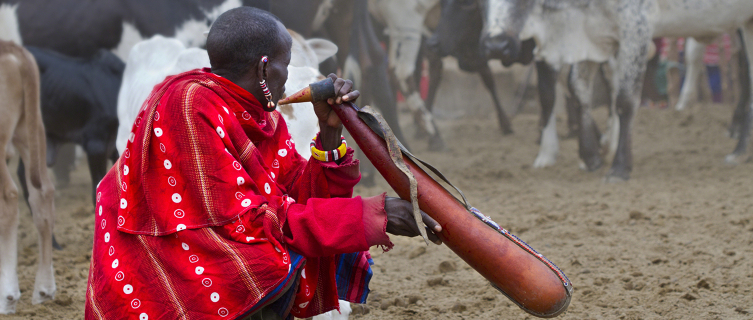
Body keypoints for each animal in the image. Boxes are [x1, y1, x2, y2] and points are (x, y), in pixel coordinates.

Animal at [482, 0, 752, 180]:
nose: (495, 44)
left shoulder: (636, 27)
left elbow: (625, 100)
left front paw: (619, 166)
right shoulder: (591, 33)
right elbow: (578, 89)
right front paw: (590, 156)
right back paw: (741, 152)